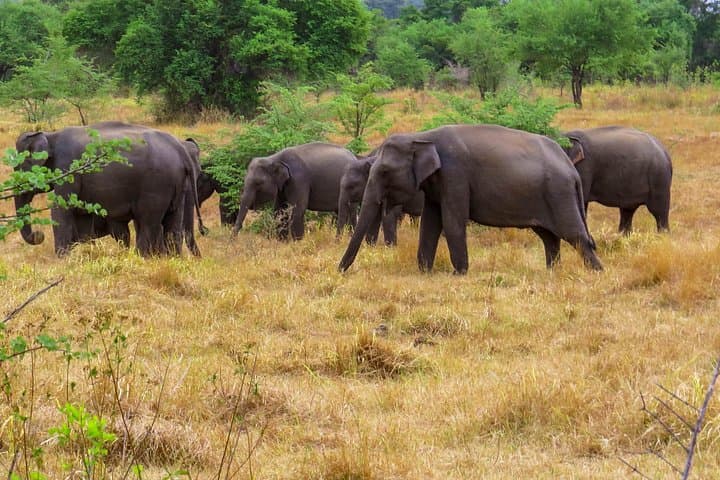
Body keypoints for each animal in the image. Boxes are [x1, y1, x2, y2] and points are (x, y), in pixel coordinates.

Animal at [14, 121, 205, 257]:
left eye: (19, 168)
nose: (39, 235)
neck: (50, 135)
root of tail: (181, 150)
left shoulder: (68, 167)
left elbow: (61, 209)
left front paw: (62, 261)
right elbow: (82, 217)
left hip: (156, 184)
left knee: (148, 222)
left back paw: (141, 258)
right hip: (177, 184)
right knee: (173, 225)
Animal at [339, 124, 603, 274]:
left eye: (384, 172)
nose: (340, 271)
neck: (422, 137)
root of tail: (570, 168)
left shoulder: (455, 174)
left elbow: (452, 221)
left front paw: (459, 273)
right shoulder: (437, 183)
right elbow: (430, 224)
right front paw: (424, 271)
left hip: (559, 194)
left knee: (575, 236)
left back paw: (596, 272)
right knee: (549, 237)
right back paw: (552, 272)